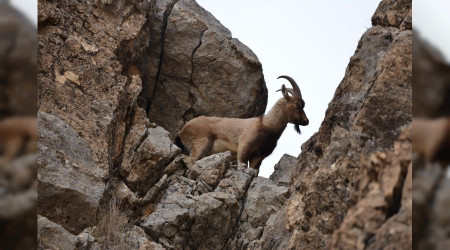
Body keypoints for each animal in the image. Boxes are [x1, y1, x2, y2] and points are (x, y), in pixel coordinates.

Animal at [174, 75, 308, 169]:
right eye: (297, 104)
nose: (306, 121)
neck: (267, 126)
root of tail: (182, 131)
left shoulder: (259, 156)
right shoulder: (244, 146)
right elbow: (242, 164)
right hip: (202, 142)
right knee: (191, 159)